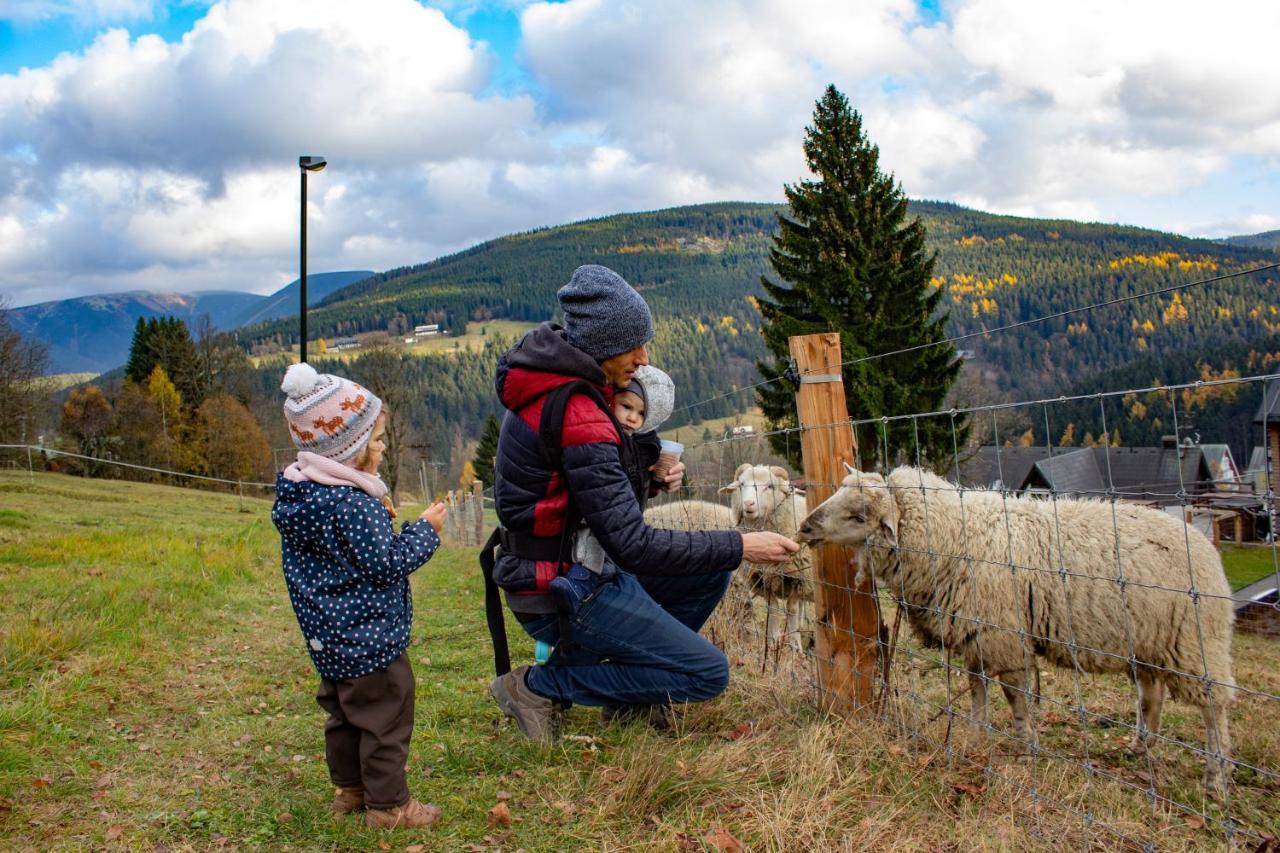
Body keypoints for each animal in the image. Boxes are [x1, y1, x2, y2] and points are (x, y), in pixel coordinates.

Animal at [716, 461, 814, 648]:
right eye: (741, 484)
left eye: (770, 486)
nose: (748, 503)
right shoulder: (762, 580)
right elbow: (773, 610)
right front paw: (773, 642)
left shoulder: (796, 579)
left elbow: (791, 610)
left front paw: (795, 647)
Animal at [793, 461, 1233, 794]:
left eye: (859, 515)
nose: (805, 528)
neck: (954, 537)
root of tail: (1204, 545)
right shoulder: (976, 635)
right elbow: (977, 692)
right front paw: (975, 739)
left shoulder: (1002, 637)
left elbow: (1016, 698)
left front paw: (1025, 747)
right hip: (1145, 642)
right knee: (1150, 695)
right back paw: (1141, 746)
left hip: (1194, 642)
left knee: (1214, 706)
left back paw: (1215, 778)